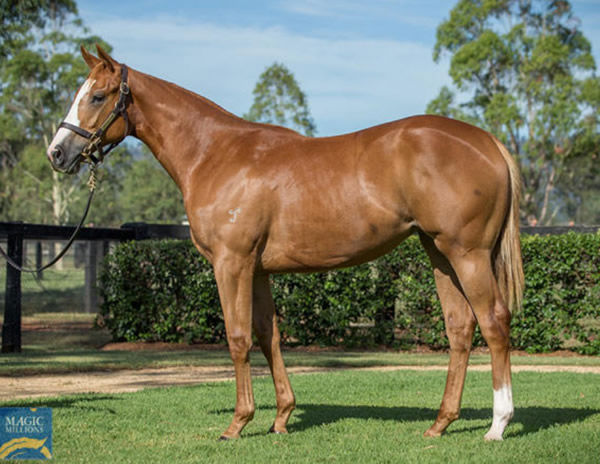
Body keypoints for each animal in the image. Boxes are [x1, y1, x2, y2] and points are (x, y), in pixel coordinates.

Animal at [48, 47, 520, 442]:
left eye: (98, 96)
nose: (56, 153)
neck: (215, 154)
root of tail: (487, 142)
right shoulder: (257, 270)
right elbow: (267, 335)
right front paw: (281, 418)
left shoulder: (231, 263)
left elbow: (237, 337)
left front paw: (237, 424)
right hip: (440, 254)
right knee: (460, 328)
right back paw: (440, 423)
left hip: (468, 255)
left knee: (494, 322)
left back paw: (497, 425)